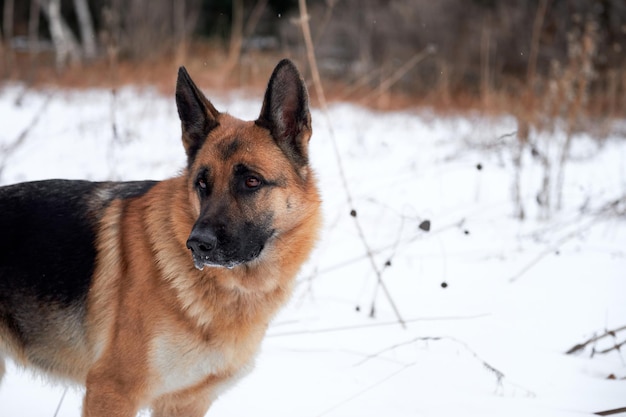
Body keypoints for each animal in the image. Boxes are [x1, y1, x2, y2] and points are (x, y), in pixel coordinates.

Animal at [0, 59, 320, 416]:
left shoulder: (186, 402)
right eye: (202, 183)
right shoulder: (111, 391)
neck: (230, 290)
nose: (197, 244)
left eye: (251, 181)